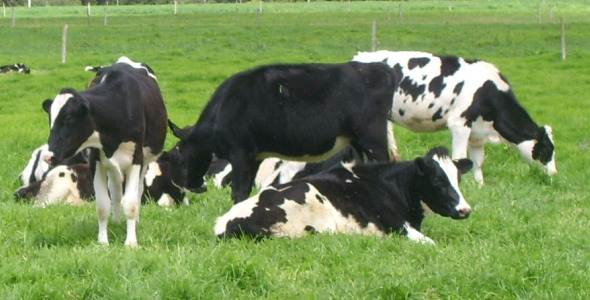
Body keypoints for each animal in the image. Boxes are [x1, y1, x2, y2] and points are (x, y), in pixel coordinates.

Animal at [42, 57, 168, 247]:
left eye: (69, 119)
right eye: (51, 119)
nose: (48, 156)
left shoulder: (136, 159)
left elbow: (131, 203)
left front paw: (131, 242)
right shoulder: (96, 161)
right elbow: (102, 205)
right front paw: (103, 241)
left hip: (145, 161)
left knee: (137, 191)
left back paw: (135, 222)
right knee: (115, 192)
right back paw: (116, 221)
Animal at [171, 61, 402, 203]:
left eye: (182, 157)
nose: (195, 187)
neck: (224, 109)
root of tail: (378, 67)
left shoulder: (241, 153)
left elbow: (238, 191)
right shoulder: (255, 156)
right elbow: (246, 189)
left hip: (372, 138)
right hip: (358, 141)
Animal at [215, 146, 474, 245]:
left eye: (458, 179)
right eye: (438, 180)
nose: (465, 210)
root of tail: (225, 223)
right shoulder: (399, 227)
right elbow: (431, 243)